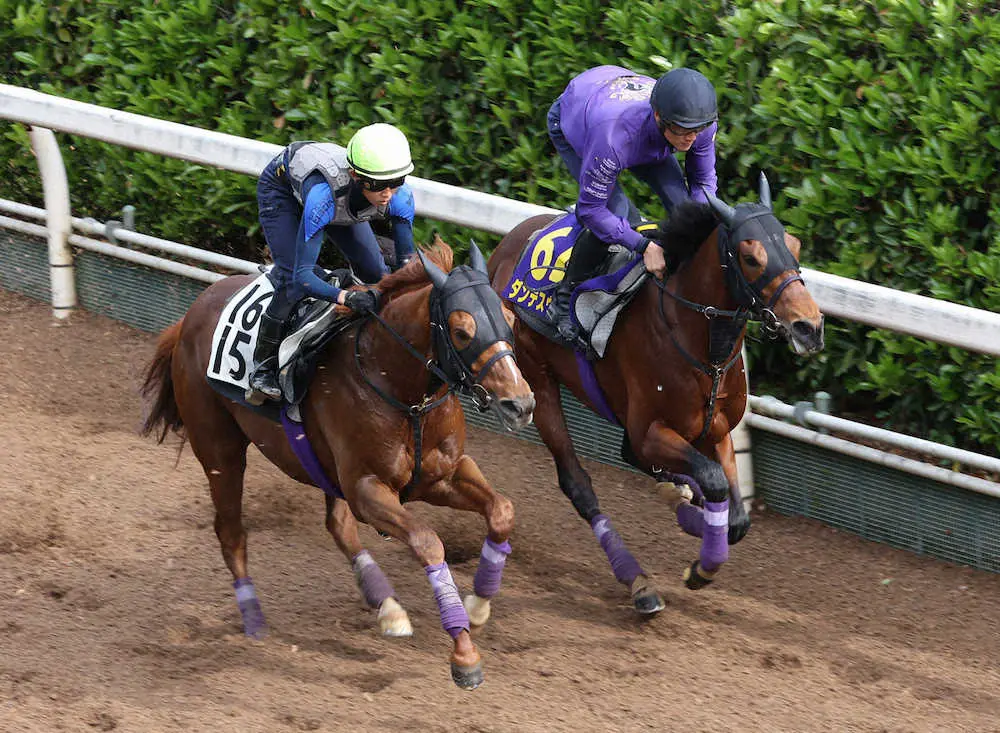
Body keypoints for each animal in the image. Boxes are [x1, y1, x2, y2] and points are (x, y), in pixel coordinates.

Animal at [140, 238, 535, 689]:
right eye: (462, 330)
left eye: (508, 318)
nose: (520, 404)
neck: (403, 392)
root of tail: (190, 314)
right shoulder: (367, 488)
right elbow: (428, 542)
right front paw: (464, 653)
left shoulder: (443, 475)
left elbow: (502, 510)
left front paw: (478, 604)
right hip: (219, 448)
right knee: (231, 531)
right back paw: (254, 618)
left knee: (338, 525)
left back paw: (386, 606)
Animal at [488, 174, 825, 613]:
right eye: (751, 257)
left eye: (795, 245)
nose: (809, 327)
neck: (700, 345)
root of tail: (503, 249)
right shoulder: (650, 430)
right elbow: (714, 484)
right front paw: (700, 559)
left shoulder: (717, 430)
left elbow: (736, 517)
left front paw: (701, 527)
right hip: (535, 381)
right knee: (578, 483)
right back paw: (639, 582)